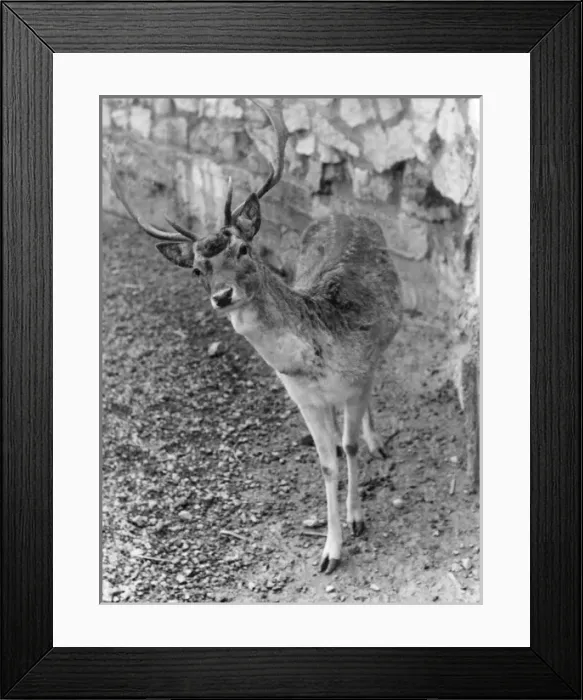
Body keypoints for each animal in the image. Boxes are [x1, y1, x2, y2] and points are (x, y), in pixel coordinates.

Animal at [108, 99, 403, 574]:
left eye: (242, 249)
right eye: (197, 270)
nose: (222, 295)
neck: (318, 361)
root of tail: (345, 212)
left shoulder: (356, 377)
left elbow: (350, 447)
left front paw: (358, 519)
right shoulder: (304, 399)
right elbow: (327, 464)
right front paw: (329, 552)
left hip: (385, 342)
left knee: (375, 384)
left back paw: (378, 442)